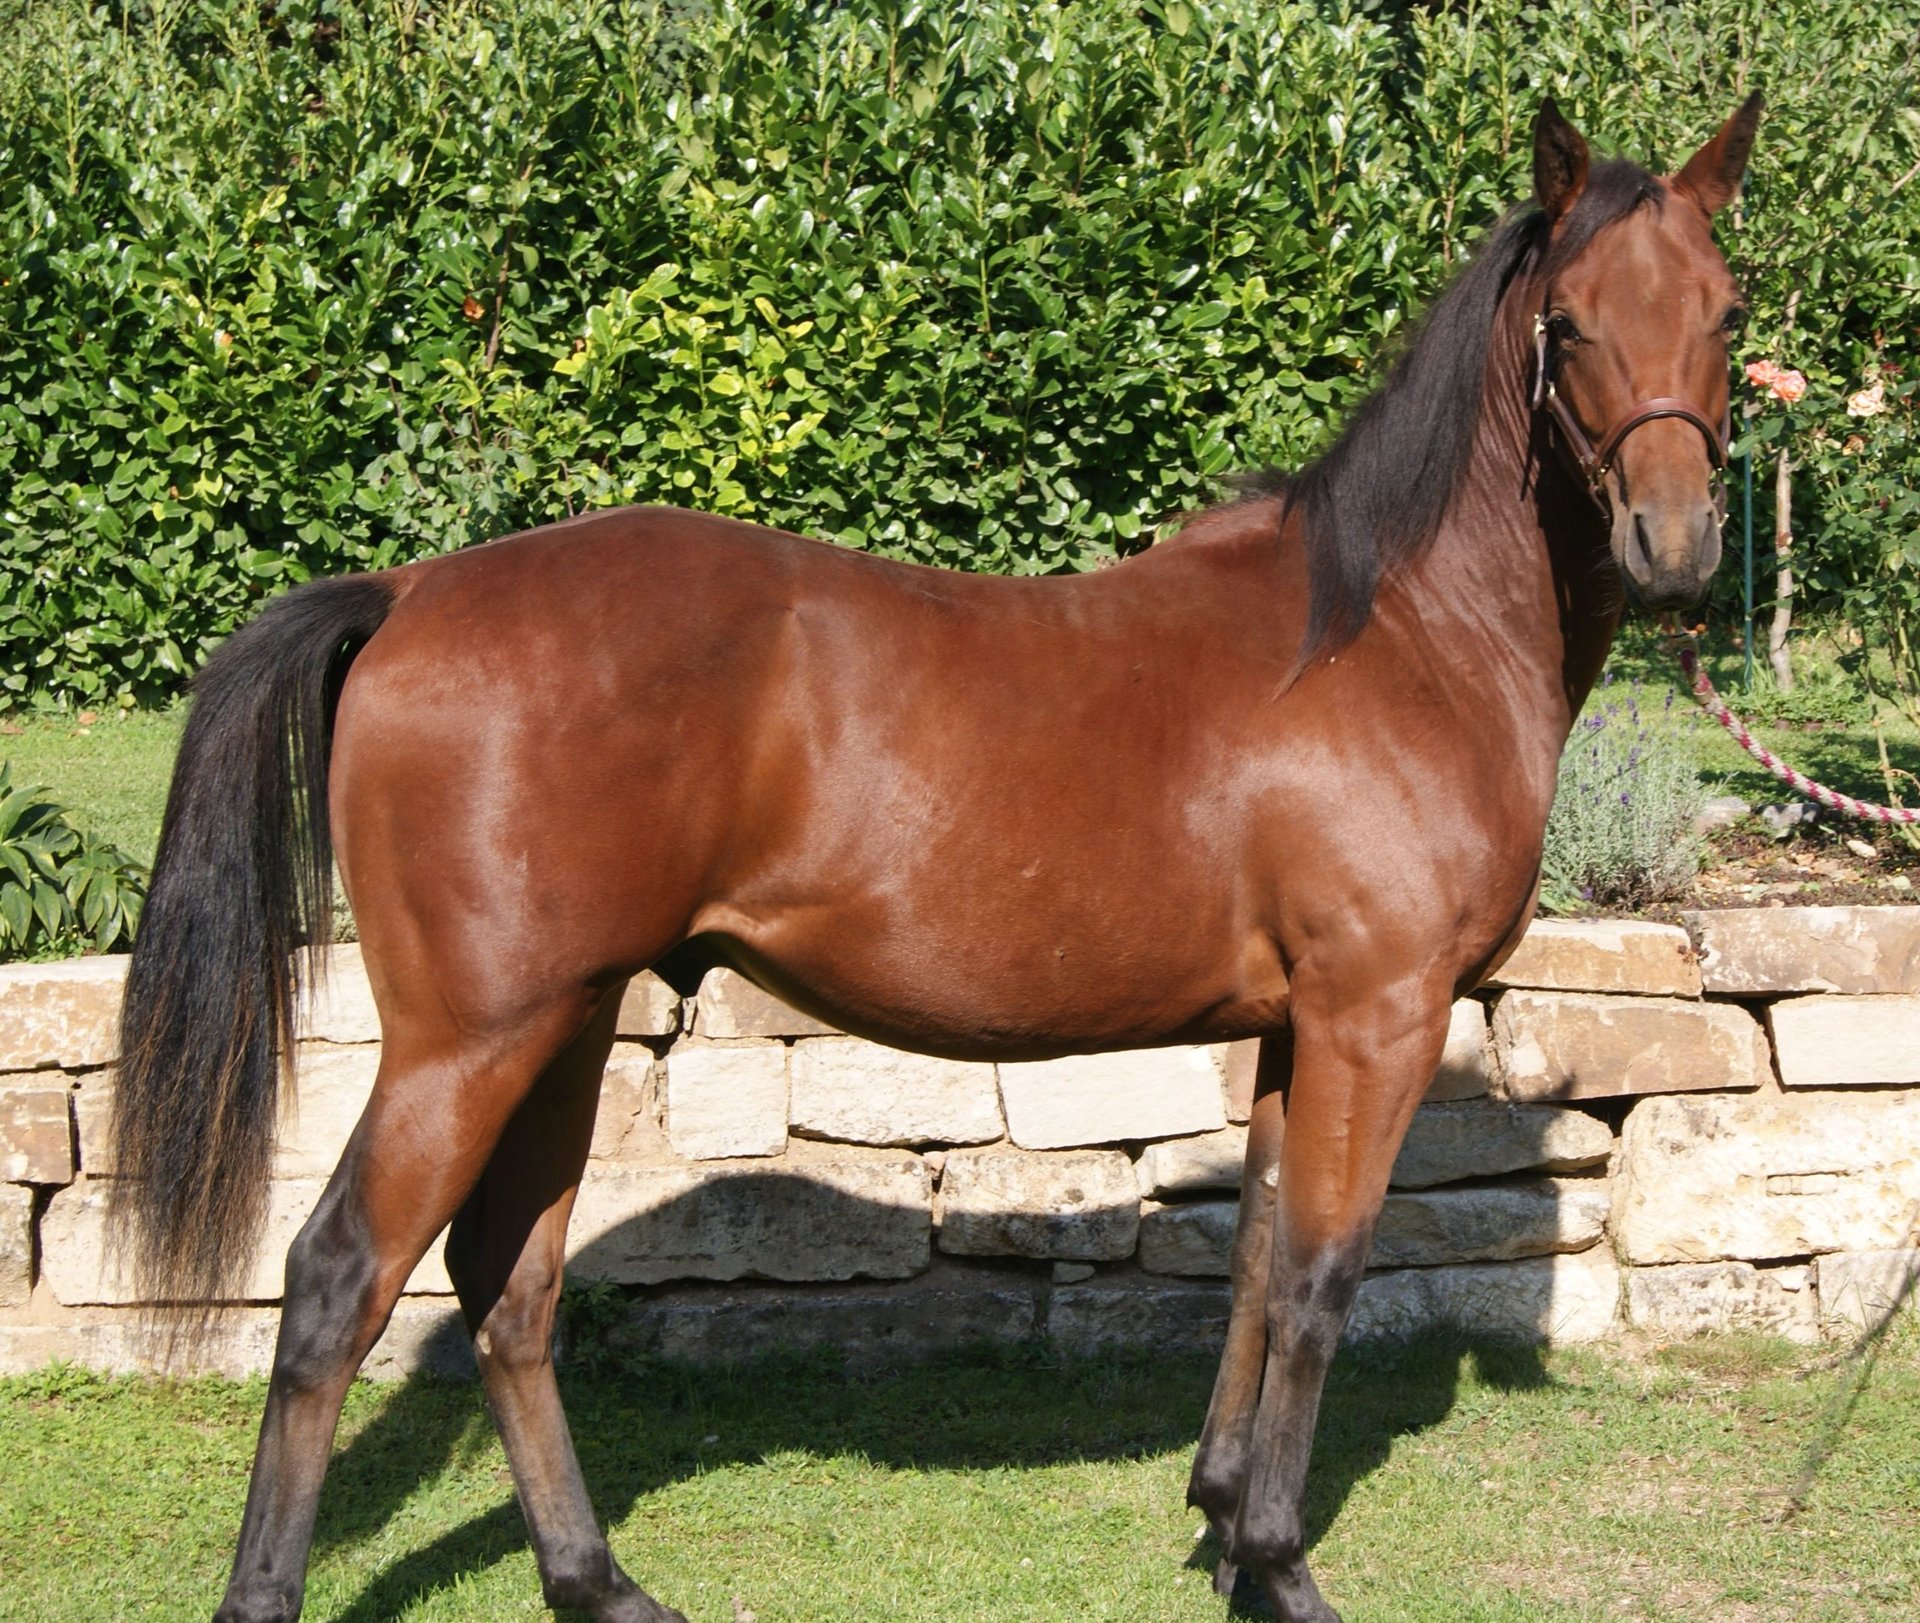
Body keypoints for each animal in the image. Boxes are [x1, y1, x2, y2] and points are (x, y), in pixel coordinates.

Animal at [108, 94, 1761, 1623]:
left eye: (1727, 310)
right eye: (1569, 320)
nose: (1675, 543)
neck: (1394, 633)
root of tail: (406, 590)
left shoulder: (1299, 1027)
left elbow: (1250, 1259)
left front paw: (1226, 1519)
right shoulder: (1377, 1014)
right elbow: (1317, 1277)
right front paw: (1284, 1565)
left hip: (560, 1024)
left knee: (509, 1282)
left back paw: (598, 1579)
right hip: (467, 1042)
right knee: (338, 1280)